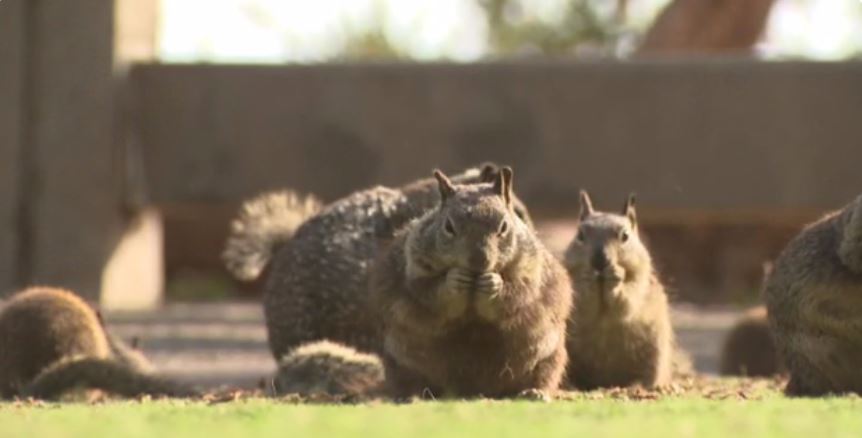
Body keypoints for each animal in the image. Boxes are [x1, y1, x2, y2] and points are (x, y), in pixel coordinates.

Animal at [370, 168, 571, 398]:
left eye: (504, 226)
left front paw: (494, 285)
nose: (479, 261)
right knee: (408, 381)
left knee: (543, 377)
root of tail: (475, 390)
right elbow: (429, 292)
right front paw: (453, 281)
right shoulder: (415, 266)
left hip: (548, 357)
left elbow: (519, 293)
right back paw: (411, 395)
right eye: (448, 226)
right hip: (400, 362)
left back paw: (534, 392)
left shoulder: (531, 268)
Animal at [564, 191, 680, 389]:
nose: (599, 260)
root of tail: (605, 382)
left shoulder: (639, 283)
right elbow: (581, 303)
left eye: (625, 236)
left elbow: (627, 301)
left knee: (648, 375)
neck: (601, 284)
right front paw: (588, 277)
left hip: (653, 350)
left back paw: (638, 385)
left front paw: (616, 275)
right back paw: (571, 385)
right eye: (580, 234)